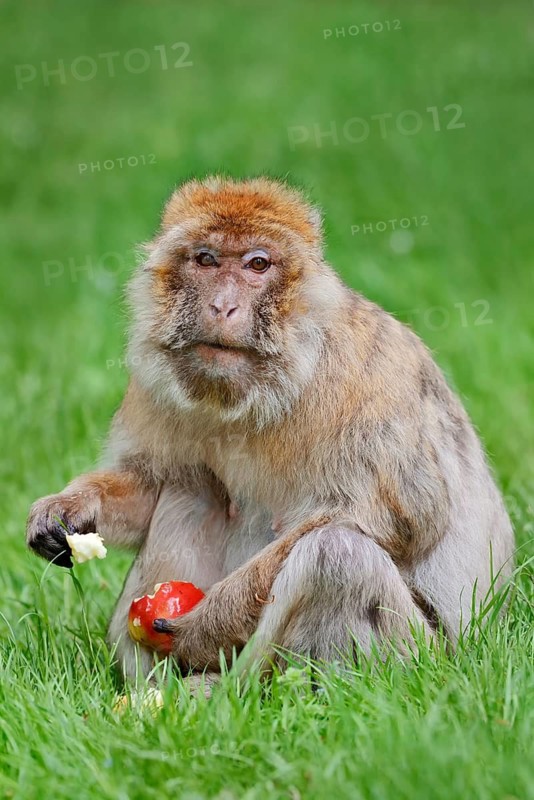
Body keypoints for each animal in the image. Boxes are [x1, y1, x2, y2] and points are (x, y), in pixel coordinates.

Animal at [26, 176, 514, 681]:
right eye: (206, 259)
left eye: (257, 264)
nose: (223, 305)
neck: (268, 386)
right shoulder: (155, 384)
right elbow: (150, 482)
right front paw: (68, 508)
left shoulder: (368, 379)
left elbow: (395, 517)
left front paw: (209, 622)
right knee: (193, 488)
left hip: (421, 655)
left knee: (337, 555)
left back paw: (231, 691)